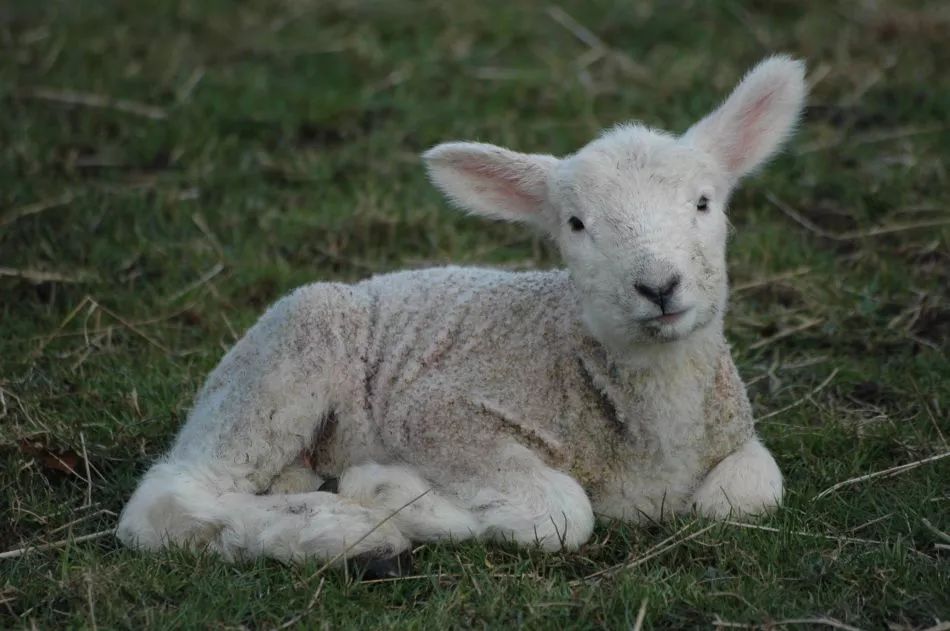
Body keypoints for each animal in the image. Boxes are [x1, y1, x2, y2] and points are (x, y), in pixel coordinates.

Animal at [115, 55, 808, 568]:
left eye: (704, 202)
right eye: (575, 224)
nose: (658, 286)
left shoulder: (735, 435)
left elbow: (746, 496)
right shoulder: (441, 415)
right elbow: (561, 513)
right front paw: (391, 493)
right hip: (289, 351)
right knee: (166, 501)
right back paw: (345, 532)